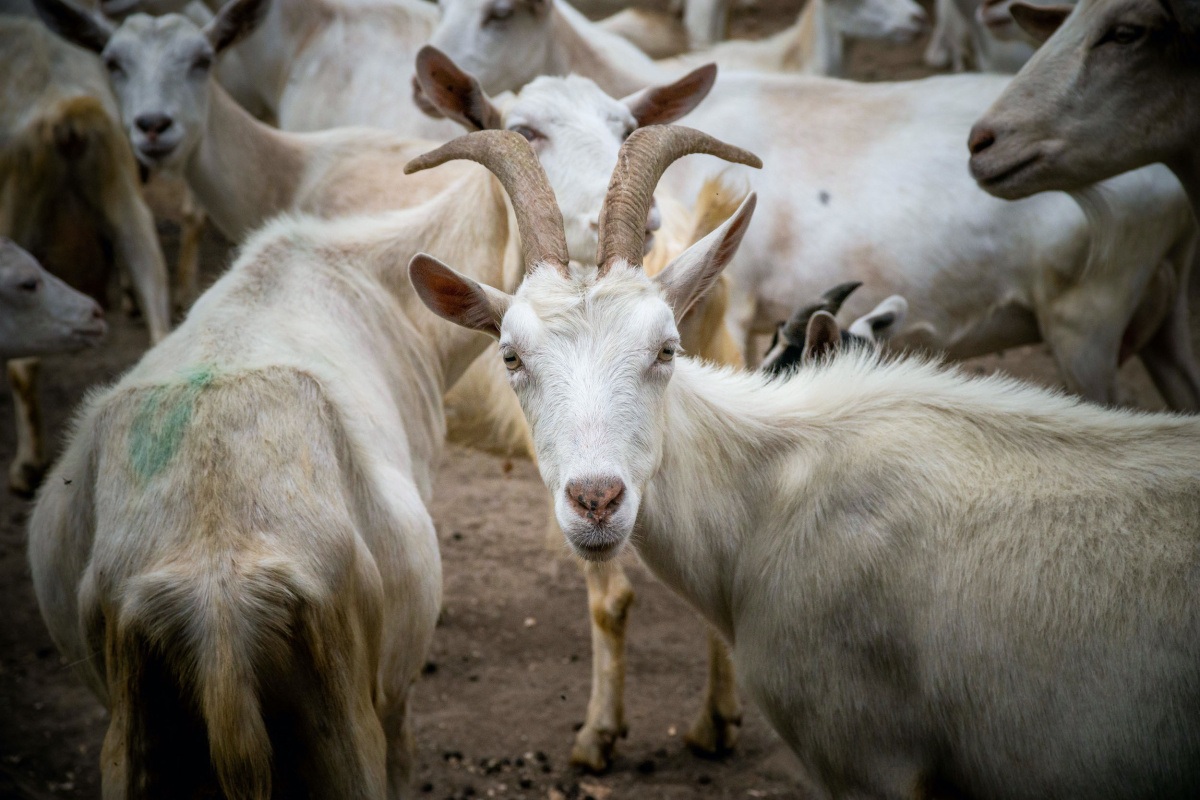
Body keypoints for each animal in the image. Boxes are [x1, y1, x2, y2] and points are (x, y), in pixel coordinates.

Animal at [1, 14, 170, 495]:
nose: (94, 314)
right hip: (125, 199)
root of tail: (67, 114)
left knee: (24, 368)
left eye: (29, 283)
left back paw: (27, 467)